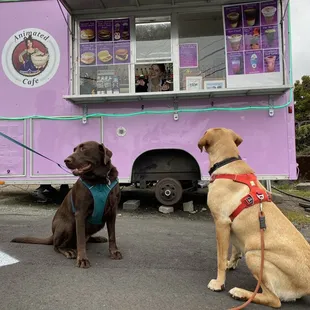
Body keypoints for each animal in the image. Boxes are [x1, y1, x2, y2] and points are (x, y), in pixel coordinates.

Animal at [197, 128, 310, 308]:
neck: (227, 162)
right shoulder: (231, 227)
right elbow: (235, 249)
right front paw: (231, 263)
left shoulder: (221, 223)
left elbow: (220, 258)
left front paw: (219, 283)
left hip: (254, 255)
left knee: (274, 300)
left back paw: (240, 293)